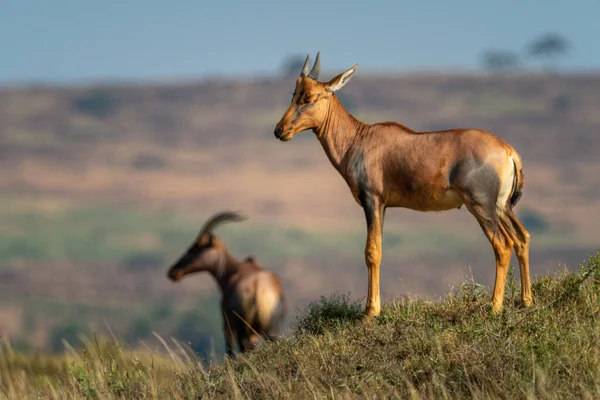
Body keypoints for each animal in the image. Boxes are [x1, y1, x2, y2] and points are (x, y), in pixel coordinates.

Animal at [165, 211, 284, 358]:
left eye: (196, 246)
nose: (173, 272)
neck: (235, 271)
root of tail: (257, 286)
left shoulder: (227, 324)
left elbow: (229, 350)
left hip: (242, 328)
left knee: (242, 347)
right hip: (268, 327)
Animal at [274, 51, 532, 318]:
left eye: (309, 97)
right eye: (294, 94)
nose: (279, 130)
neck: (360, 138)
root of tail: (509, 151)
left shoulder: (372, 200)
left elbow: (372, 252)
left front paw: (370, 312)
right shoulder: (384, 206)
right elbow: (378, 248)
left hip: (480, 205)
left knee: (503, 245)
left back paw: (494, 307)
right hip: (501, 206)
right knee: (521, 237)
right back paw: (525, 301)